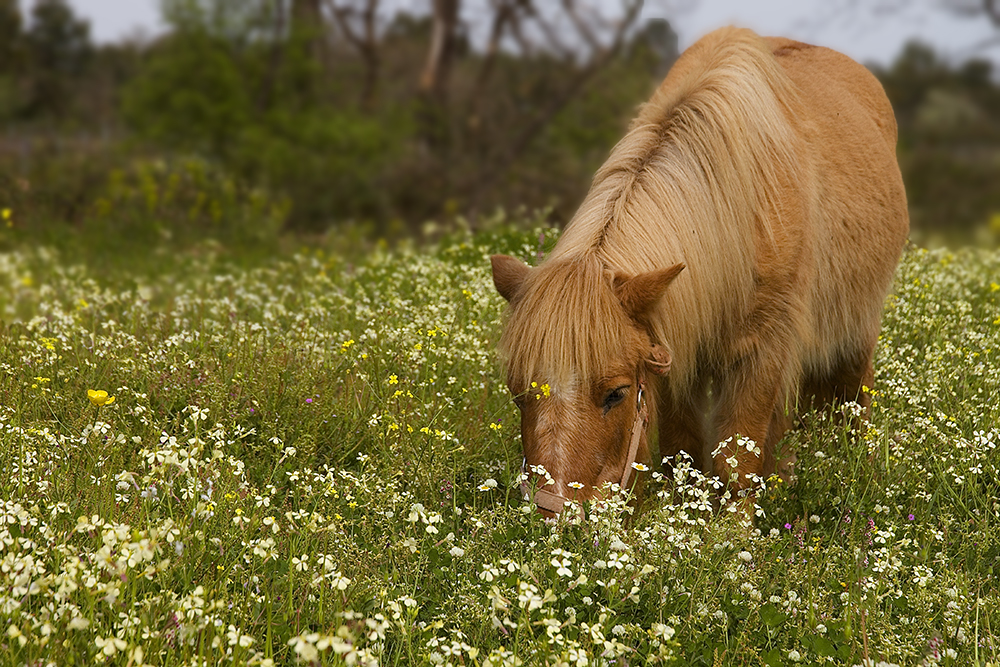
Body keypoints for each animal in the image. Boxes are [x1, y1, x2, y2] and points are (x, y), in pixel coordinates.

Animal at [488, 26, 912, 516]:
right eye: (518, 393)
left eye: (615, 393)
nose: (551, 513)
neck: (742, 210)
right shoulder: (673, 349)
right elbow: (683, 452)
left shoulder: (764, 351)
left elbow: (738, 461)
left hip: (854, 334)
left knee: (852, 400)